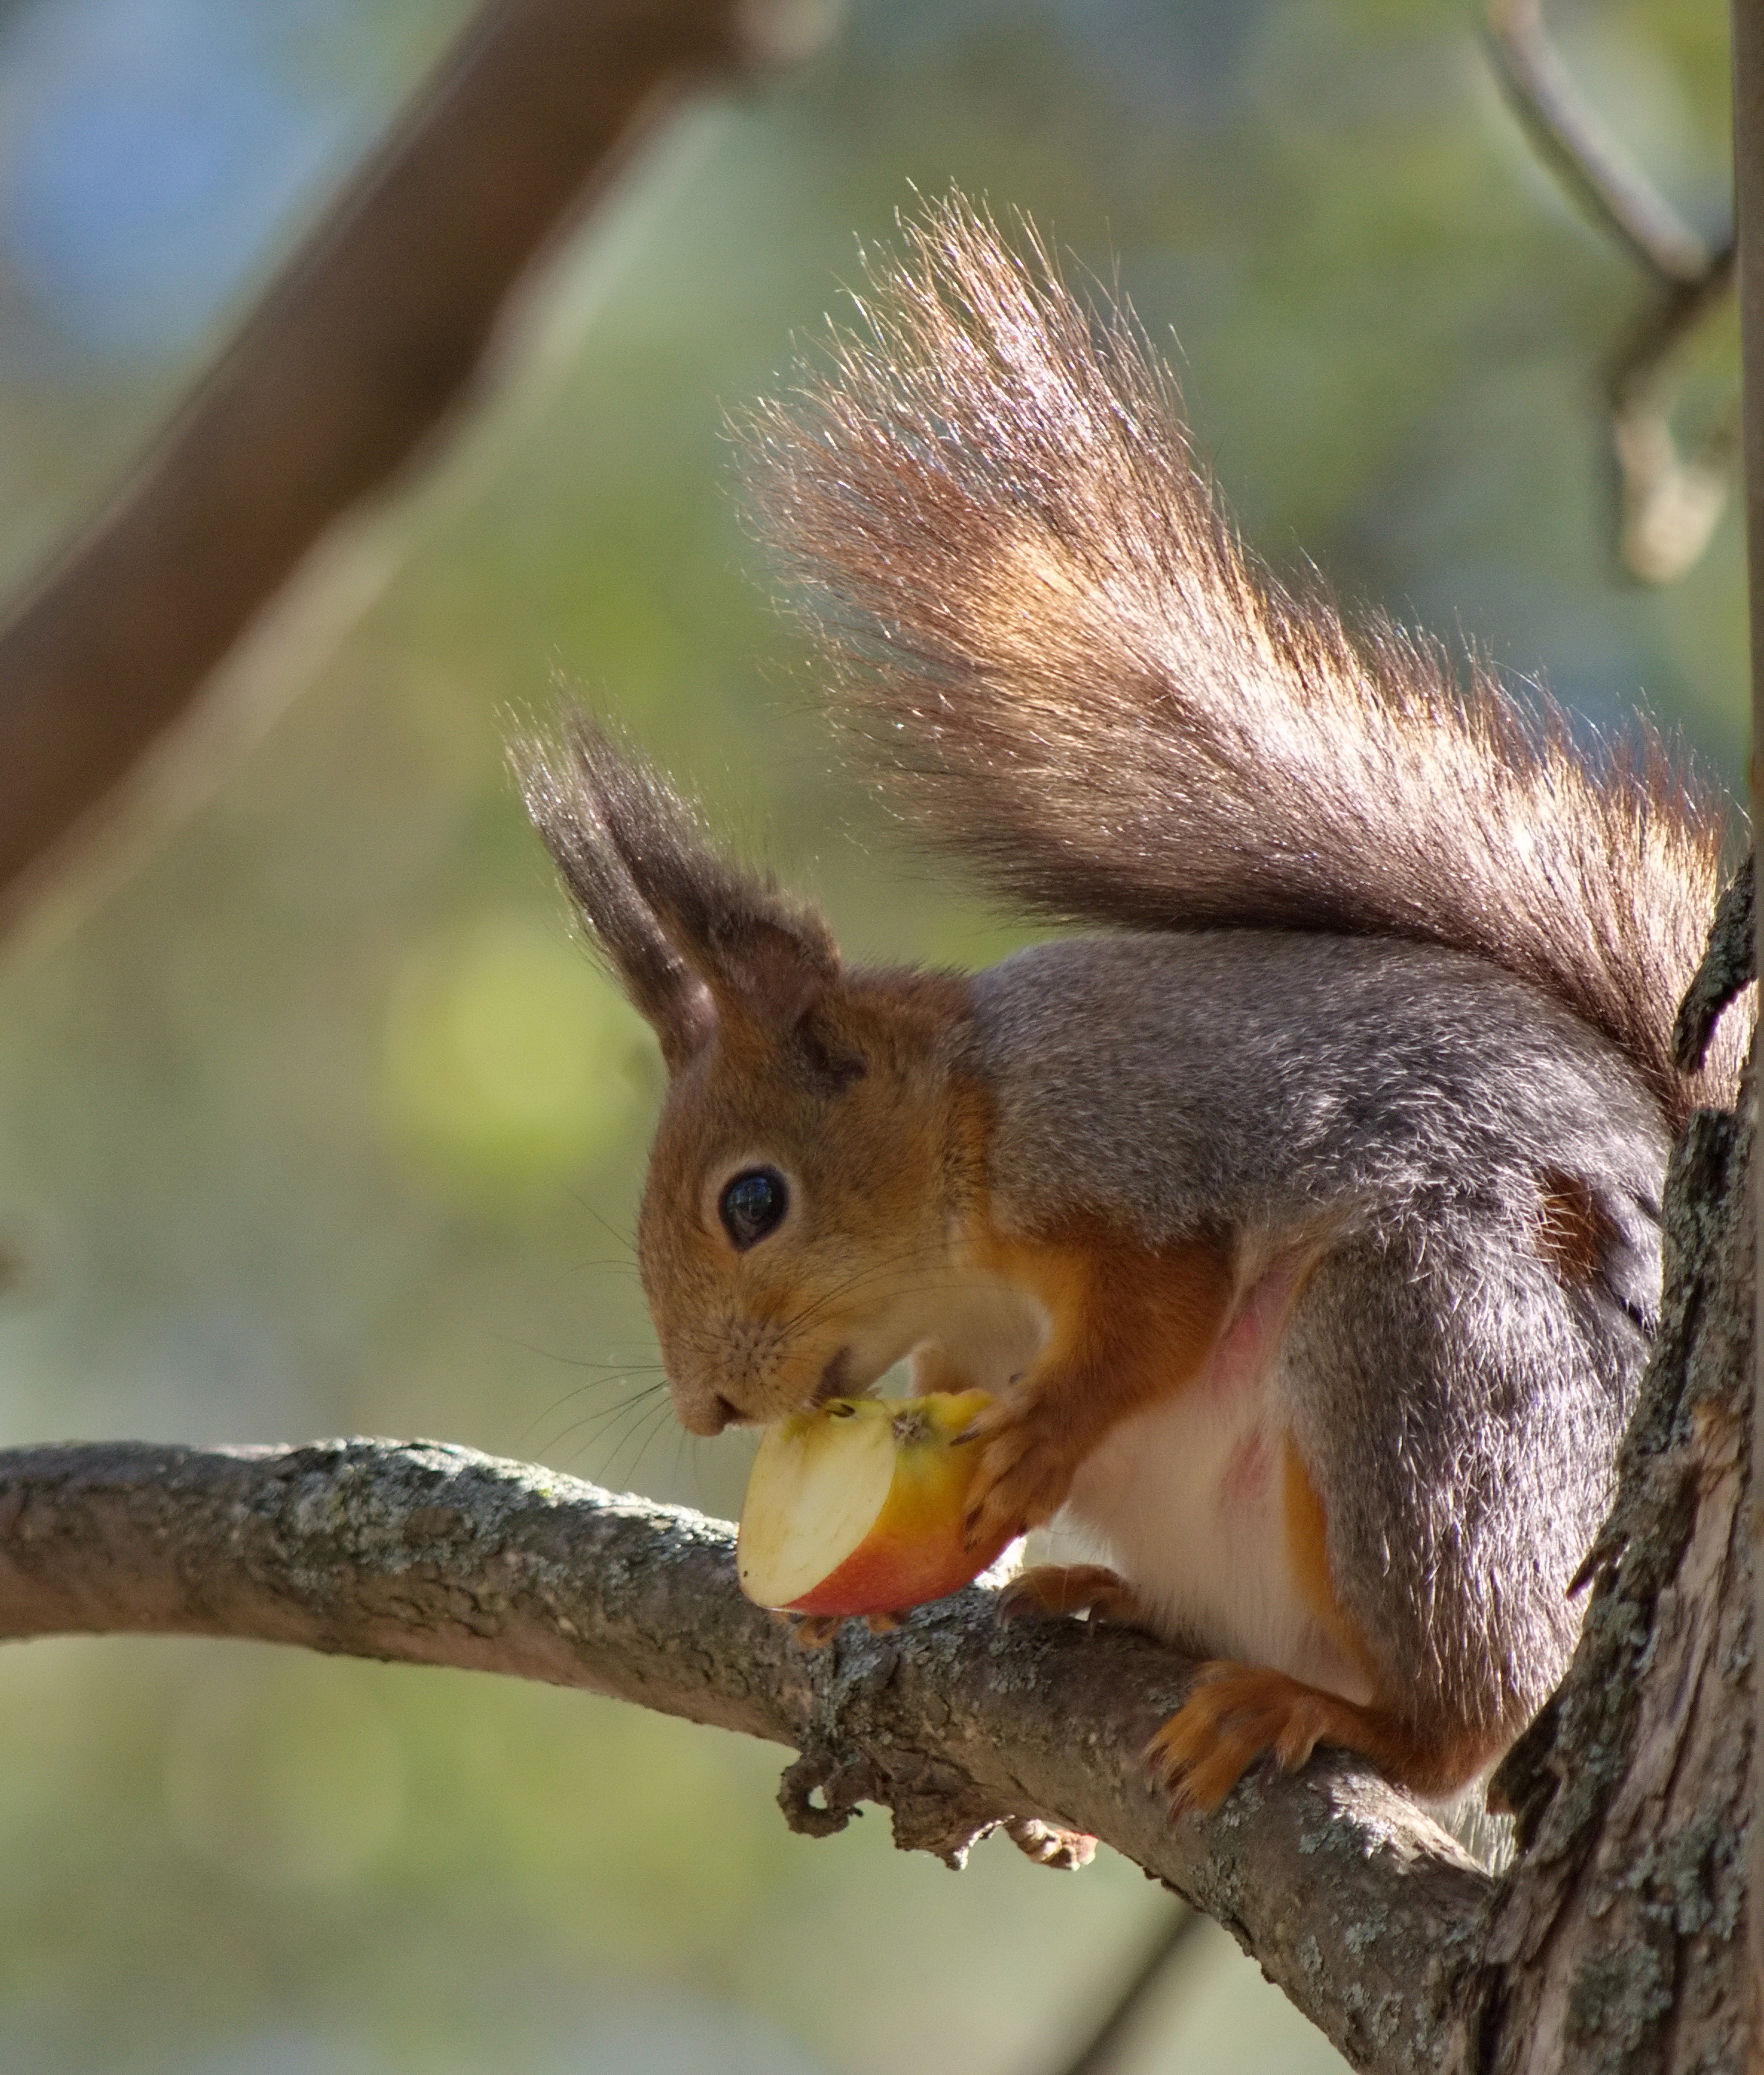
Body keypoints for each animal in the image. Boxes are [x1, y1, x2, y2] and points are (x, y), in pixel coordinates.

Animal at [514, 198, 1743, 1817]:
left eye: (751, 1202)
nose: (705, 1413)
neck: (967, 1132)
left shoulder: (1137, 1149)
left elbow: (1153, 1323)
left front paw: (1048, 1433)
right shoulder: (963, 1336)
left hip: (1428, 1361)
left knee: (1456, 1707)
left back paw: (1332, 1714)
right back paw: (1113, 1605)